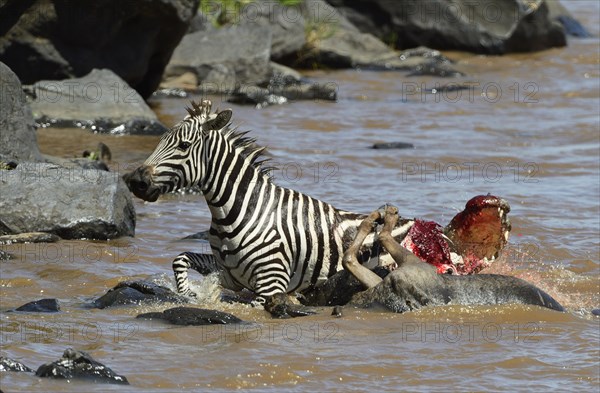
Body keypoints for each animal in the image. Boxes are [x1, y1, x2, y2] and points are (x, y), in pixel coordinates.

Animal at [124, 100, 414, 312]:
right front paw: (189, 293)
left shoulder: (271, 284)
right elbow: (180, 258)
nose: (136, 182)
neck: (236, 213)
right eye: (160, 141)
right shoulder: (228, 272)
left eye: (184, 146)